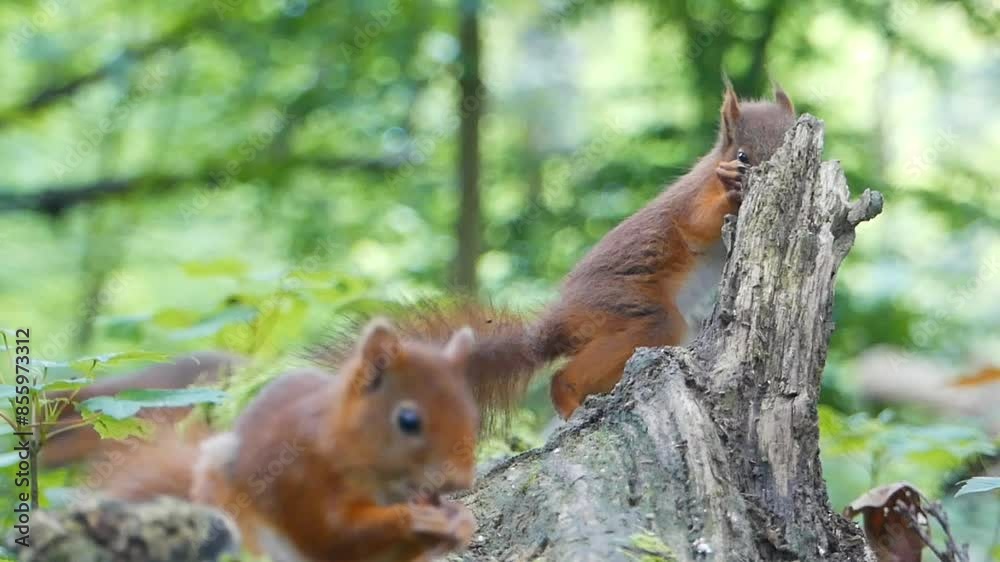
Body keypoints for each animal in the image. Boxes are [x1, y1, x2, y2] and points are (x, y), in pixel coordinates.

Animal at [100, 318, 481, 562]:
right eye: (408, 420)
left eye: (472, 412)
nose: (459, 480)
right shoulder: (301, 476)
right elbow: (334, 534)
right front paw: (419, 519)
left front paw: (460, 521)